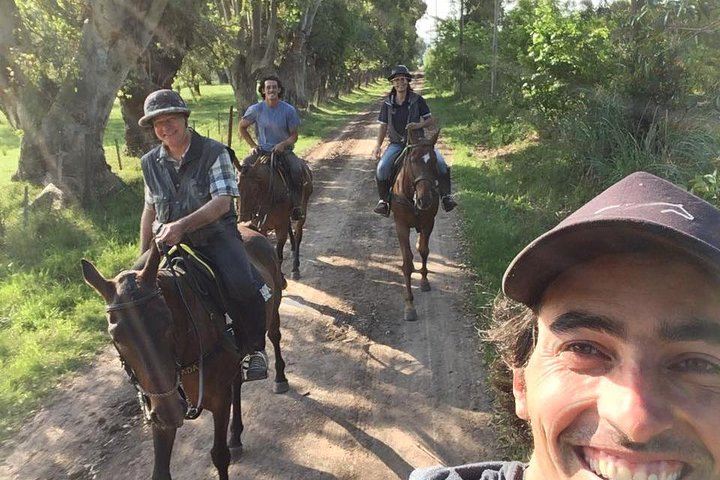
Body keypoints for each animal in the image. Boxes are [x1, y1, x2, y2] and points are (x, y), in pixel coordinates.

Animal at [82, 226, 286, 480]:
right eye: (116, 336)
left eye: (168, 322)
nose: (171, 411)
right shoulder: (161, 409)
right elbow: (160, 471)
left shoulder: (218, 401)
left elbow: (220, 455)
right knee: (237, 381)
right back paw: (236, 436)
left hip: (273, 309)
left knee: (274, 337)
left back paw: (280, 378)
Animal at [390, 129, 442, 320]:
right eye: (412, 160)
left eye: (433, 161)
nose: (424, 199)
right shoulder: (401, 226)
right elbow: (407, 262)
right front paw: (409, 305)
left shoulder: (428, 223)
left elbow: (424, 251)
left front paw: (425, 281)